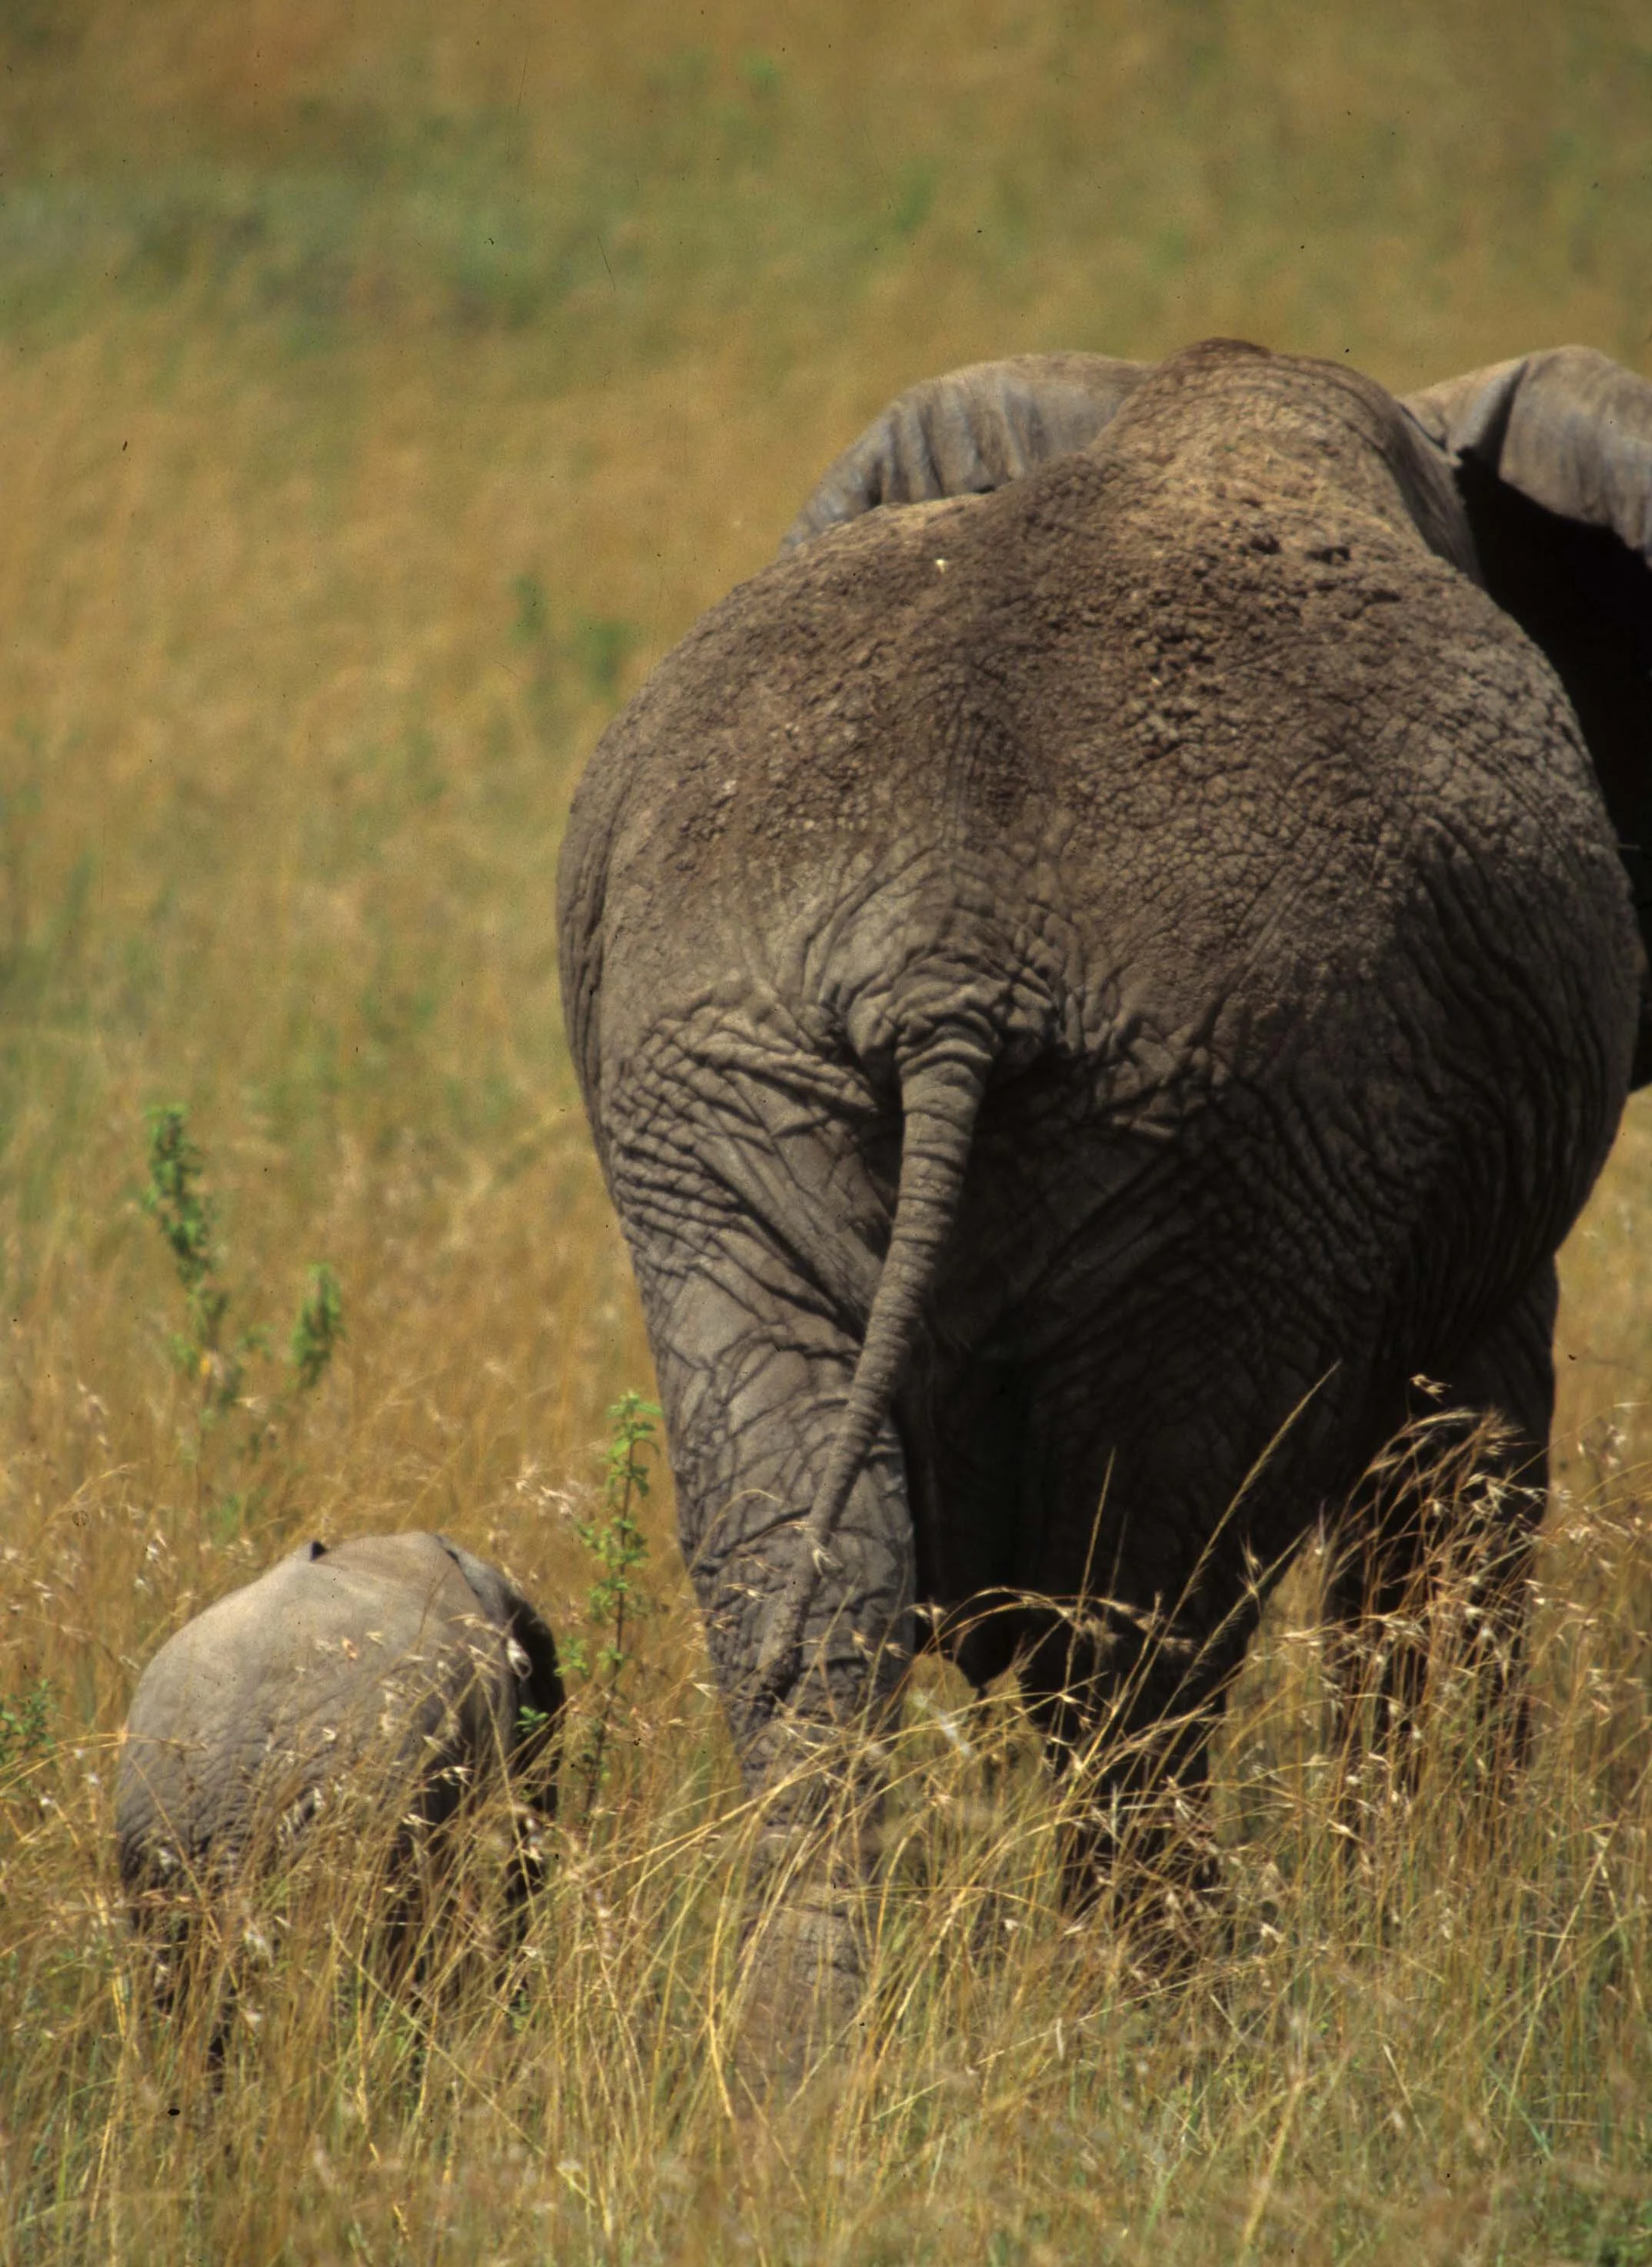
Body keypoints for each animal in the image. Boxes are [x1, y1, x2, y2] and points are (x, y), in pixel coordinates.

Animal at [556, 335, 1652, 2050]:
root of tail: (946, 939)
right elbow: (1459, 1468)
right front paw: (1441, 1920)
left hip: (733, 1083)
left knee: (813, 1581)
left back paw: (805, 2063)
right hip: (1240, 1121)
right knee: (1137, 1635)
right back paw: (1152, 2040)